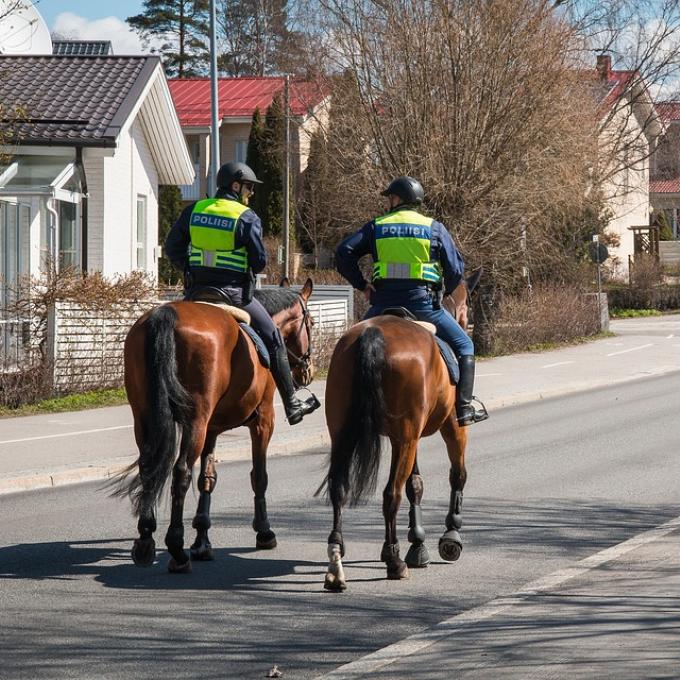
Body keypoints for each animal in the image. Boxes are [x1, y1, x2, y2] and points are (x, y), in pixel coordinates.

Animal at [115, 278, 316, 572]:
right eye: (310, 322)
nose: (307, 372)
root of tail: (165, 315)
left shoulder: (212, 428)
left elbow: (207, 479)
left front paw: (202, 540)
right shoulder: (263, 421)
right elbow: (259, 476)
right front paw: (264, 531)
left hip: (145, 418)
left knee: (149, 469)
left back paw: (145, 541)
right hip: (195, 420)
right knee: (181, 472)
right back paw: (176, 549)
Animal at [318, 272, 478, 588]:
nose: (468, 322)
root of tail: (372, 336)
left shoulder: (406, 437)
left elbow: (415, 483)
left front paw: (417, 544)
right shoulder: (450, 427)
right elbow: (457, 475)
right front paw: (450, 535)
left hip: (347, 432)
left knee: (339, 487)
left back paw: (336, 562)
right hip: (409, 435)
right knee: (390, 494)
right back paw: (394, 560)